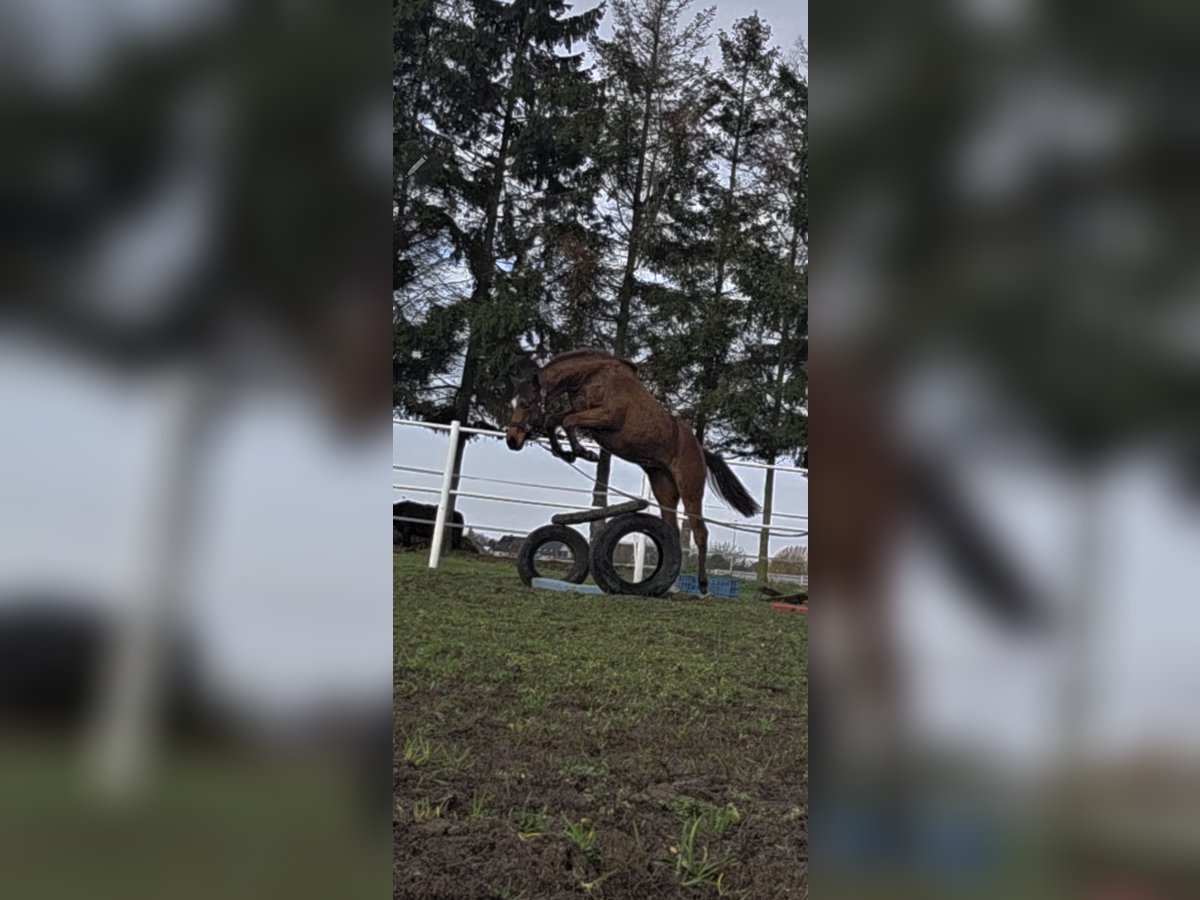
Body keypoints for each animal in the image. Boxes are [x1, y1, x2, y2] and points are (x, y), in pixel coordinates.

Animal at [504, 348, 761, 594]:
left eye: (526, 404)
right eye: (513, 404)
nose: (512, 440)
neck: (591, 377)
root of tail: (700, 449)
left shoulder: (606, 417)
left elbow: (566, 421)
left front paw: (583, 453)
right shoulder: (581, 412)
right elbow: (554, 420)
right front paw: (568, 454)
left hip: (690, 488)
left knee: (700, 532)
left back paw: (703, 586)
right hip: (663, 485)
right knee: (672, 532)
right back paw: (670, 584)